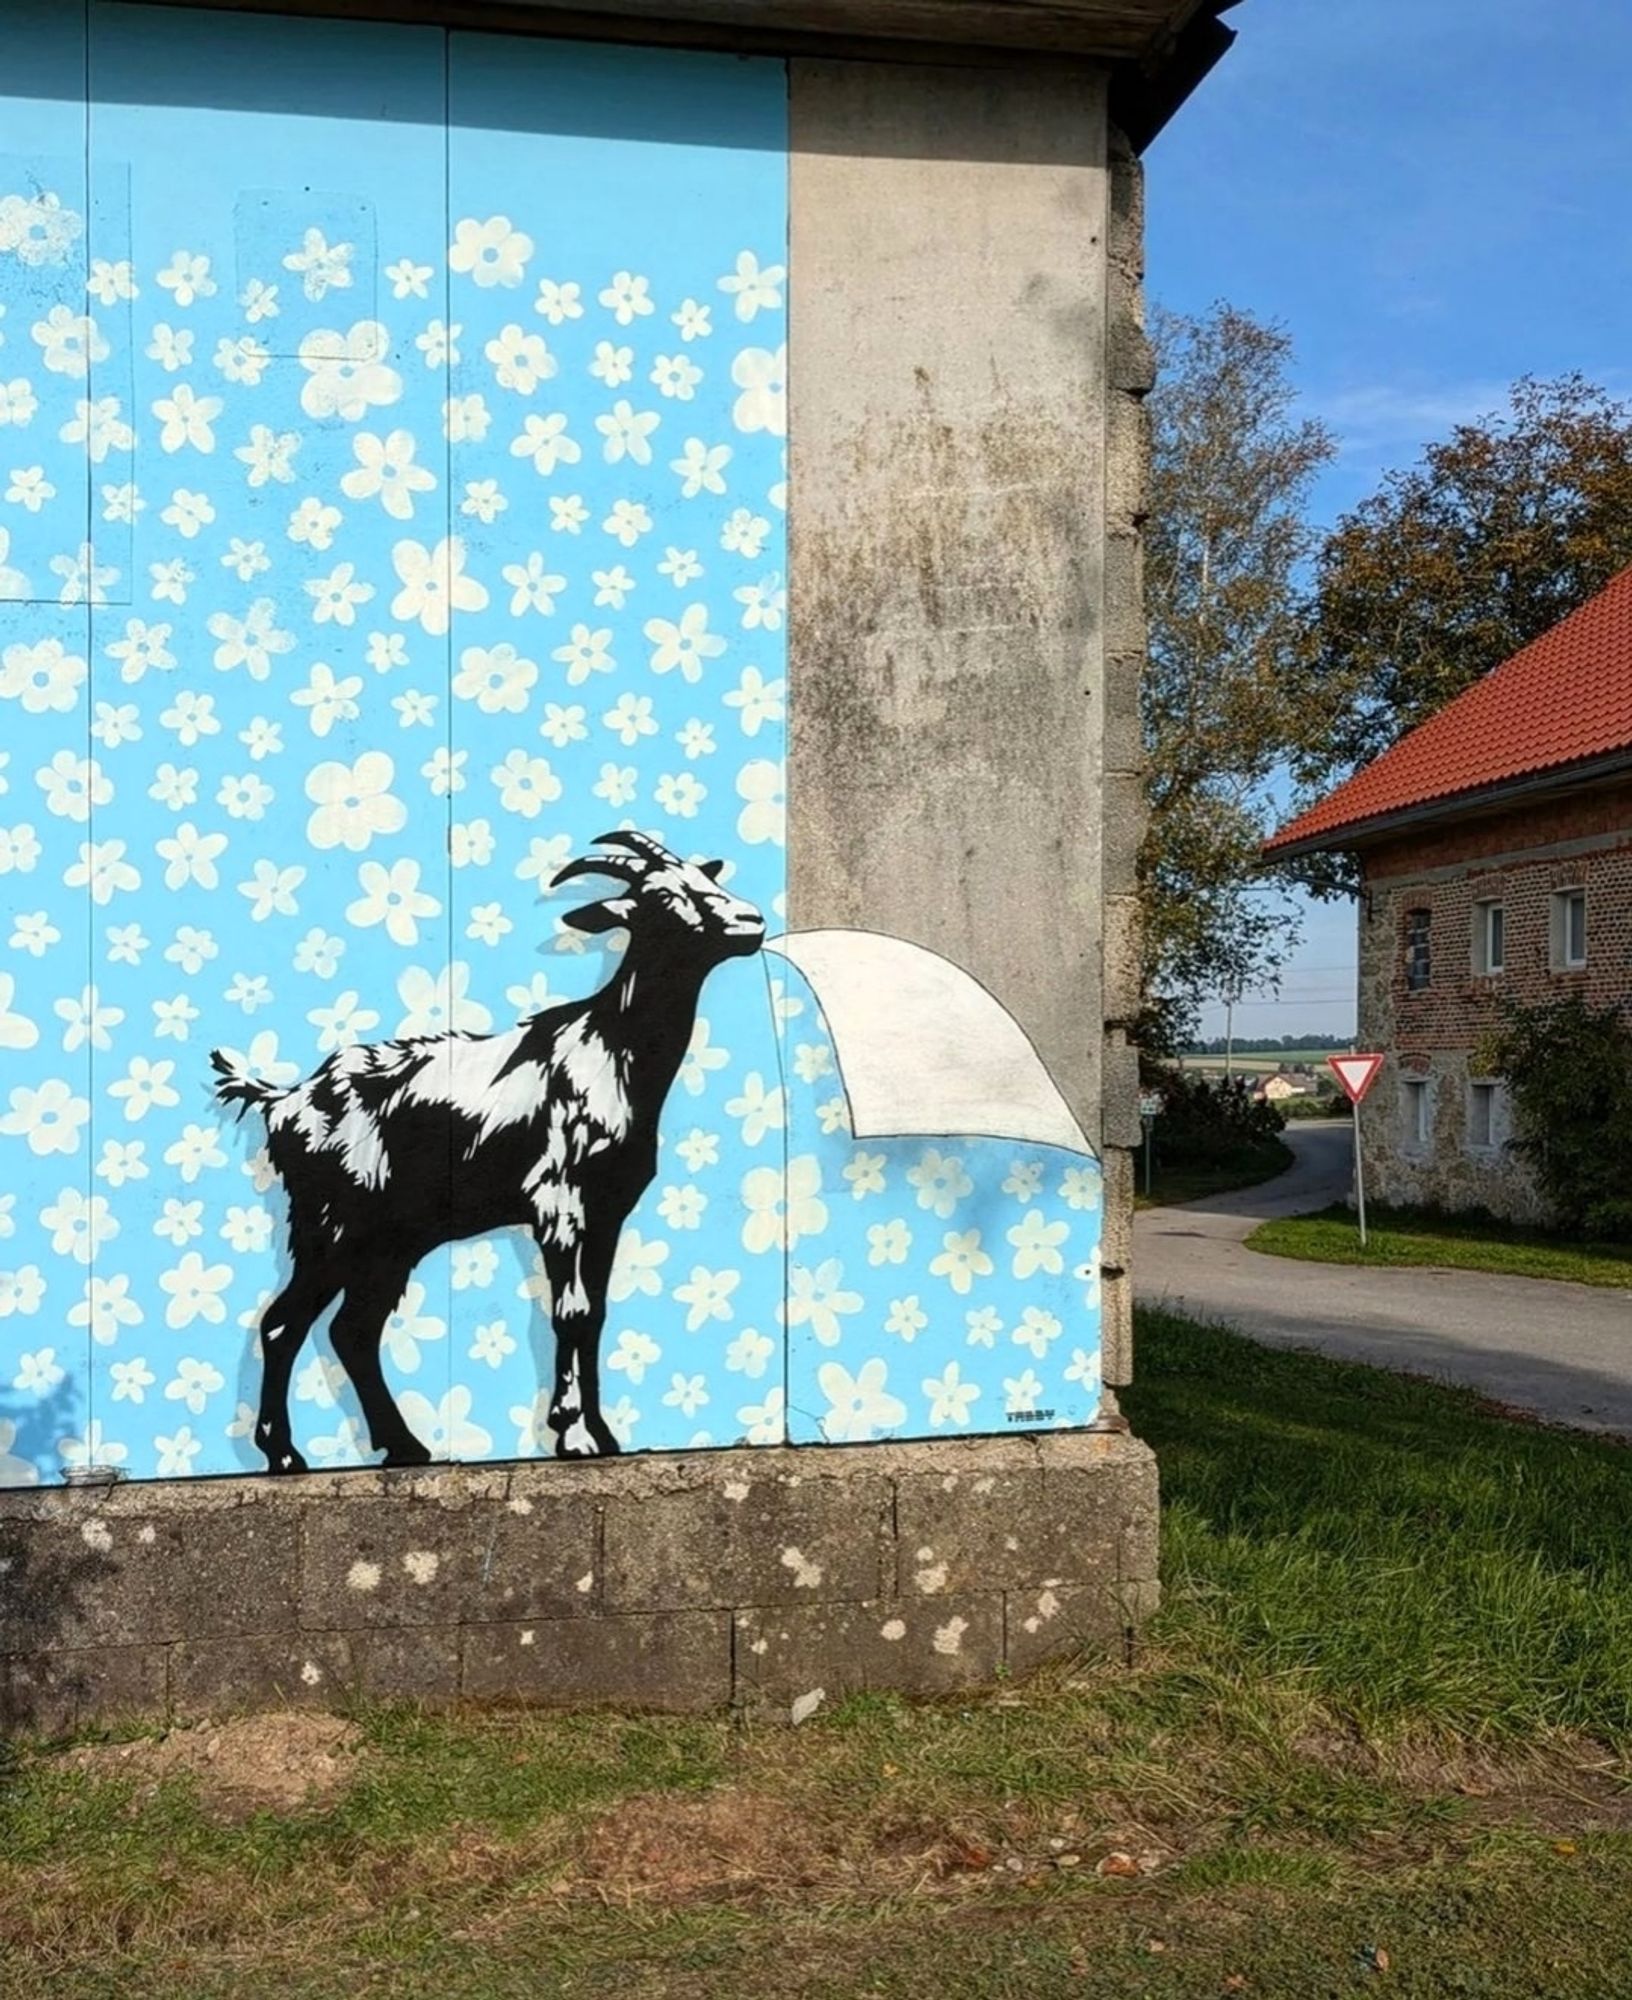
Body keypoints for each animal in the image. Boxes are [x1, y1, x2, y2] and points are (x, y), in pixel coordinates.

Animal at [210, 828, 764, 1472]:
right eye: (662, 897)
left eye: (705, 878)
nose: (751, 921)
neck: (611, 1052)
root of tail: (283, 1100)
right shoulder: (558, 1202)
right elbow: (571, 1311)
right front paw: (572, 1435)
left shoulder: (607, 1210)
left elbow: (596, 1314)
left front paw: (600, 1434)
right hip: (331, 1223)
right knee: (283, 1323)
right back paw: (285, 1456)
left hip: (393, 1239)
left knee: (353, 1329)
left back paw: (404, 1447)